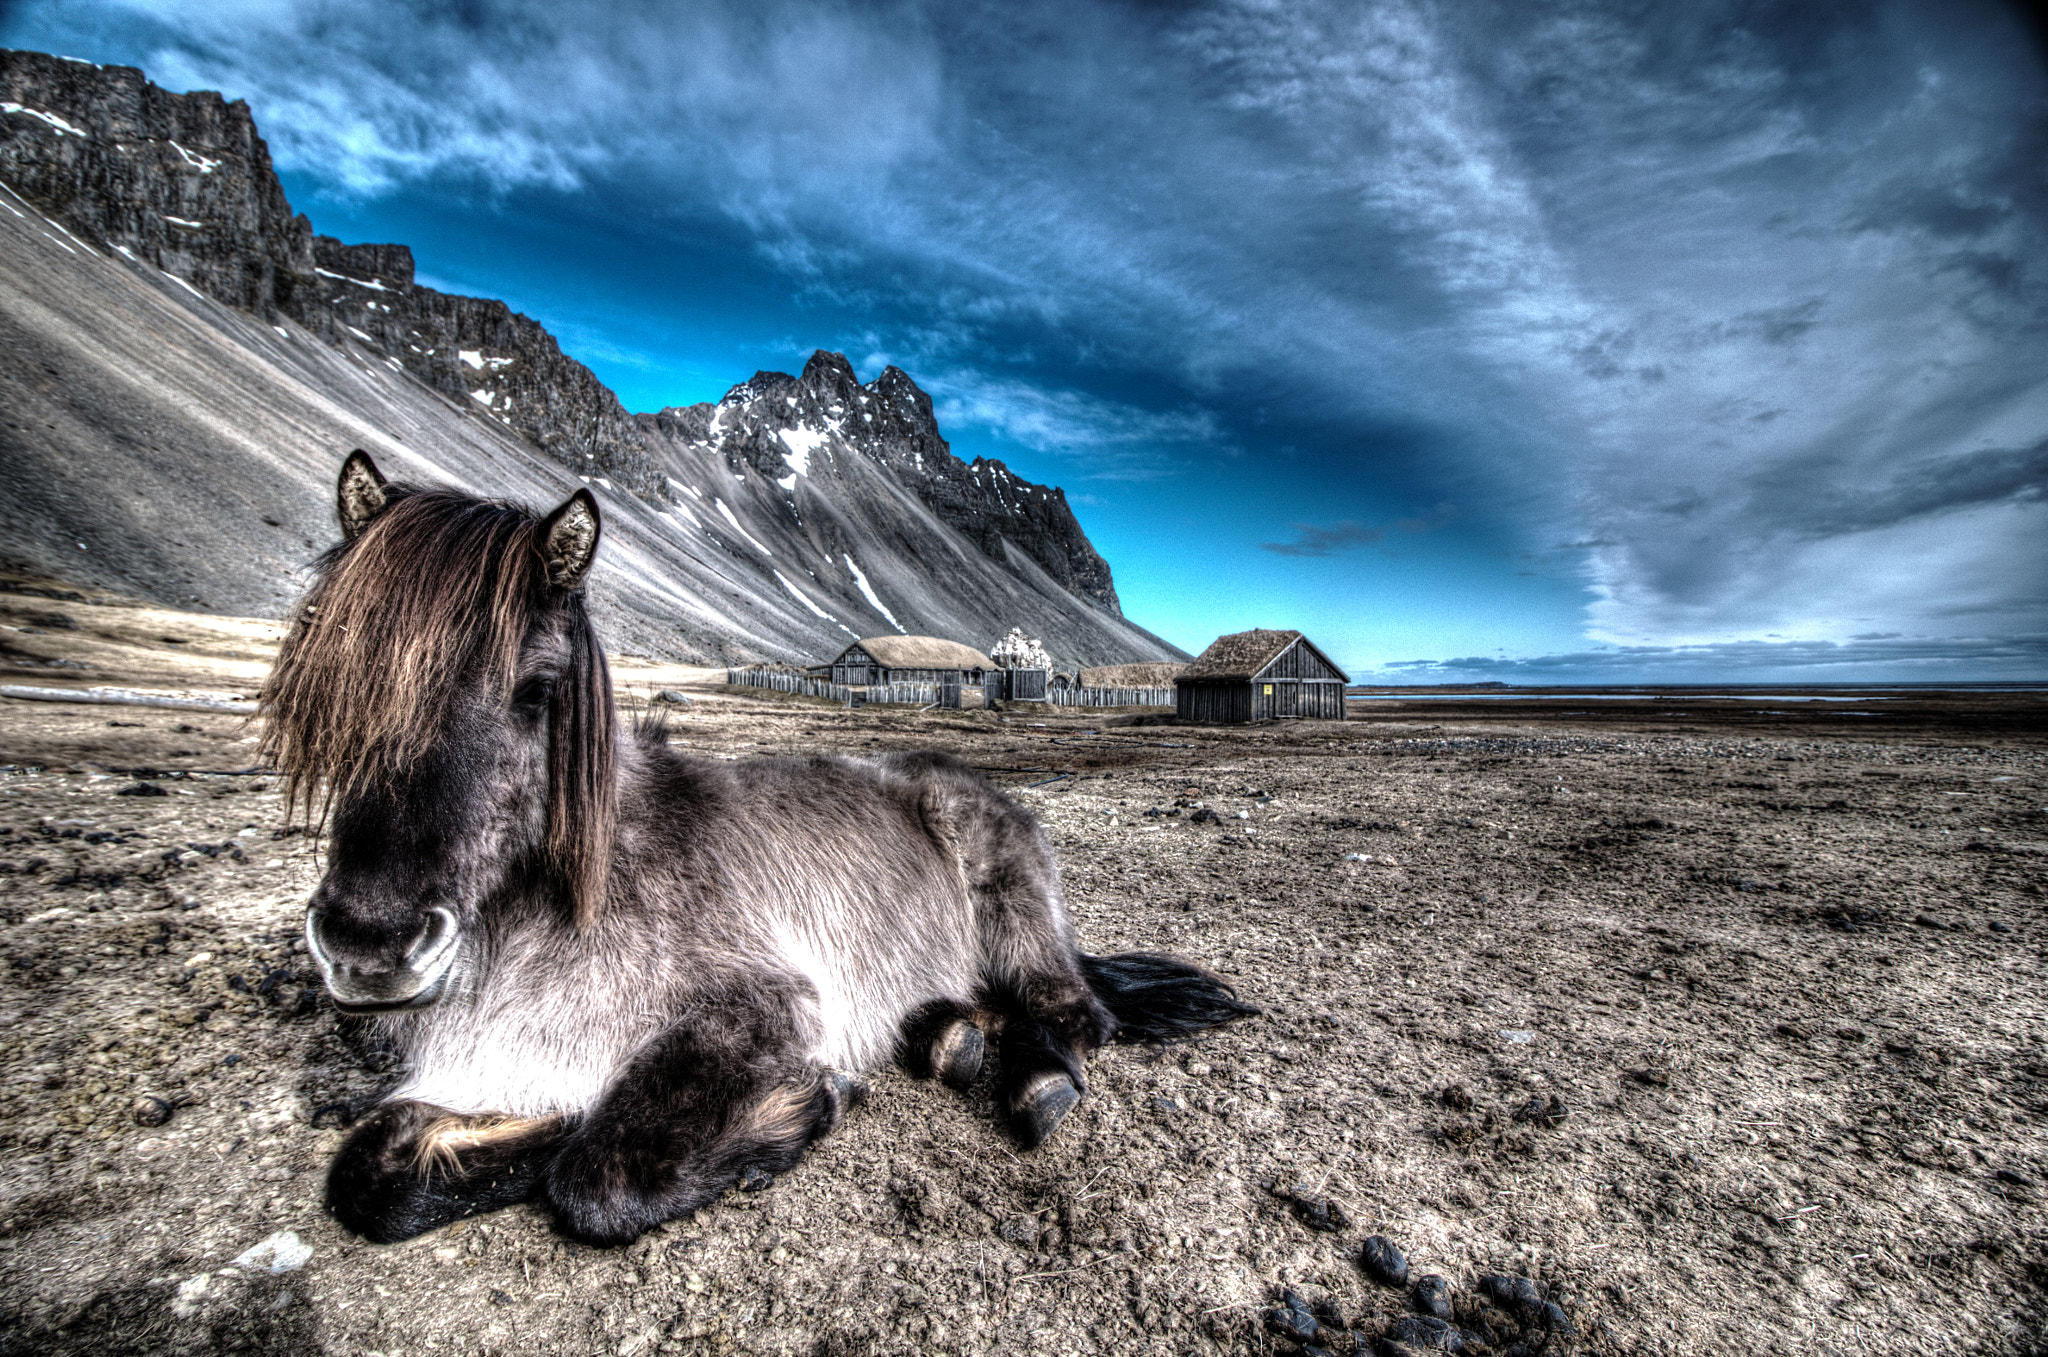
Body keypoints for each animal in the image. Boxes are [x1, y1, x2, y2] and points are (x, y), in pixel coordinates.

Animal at [262, 450, 1256, 1247]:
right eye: (328, 669)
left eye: (537, 689)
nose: (370, 945)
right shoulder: (480, 1067)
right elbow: (371, 1170)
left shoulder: (762, 1006)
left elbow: (595, 1172)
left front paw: (812, 1101)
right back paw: (944, 1036)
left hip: (1019, 923)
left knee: (1075, 1013)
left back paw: (1027, 1075)